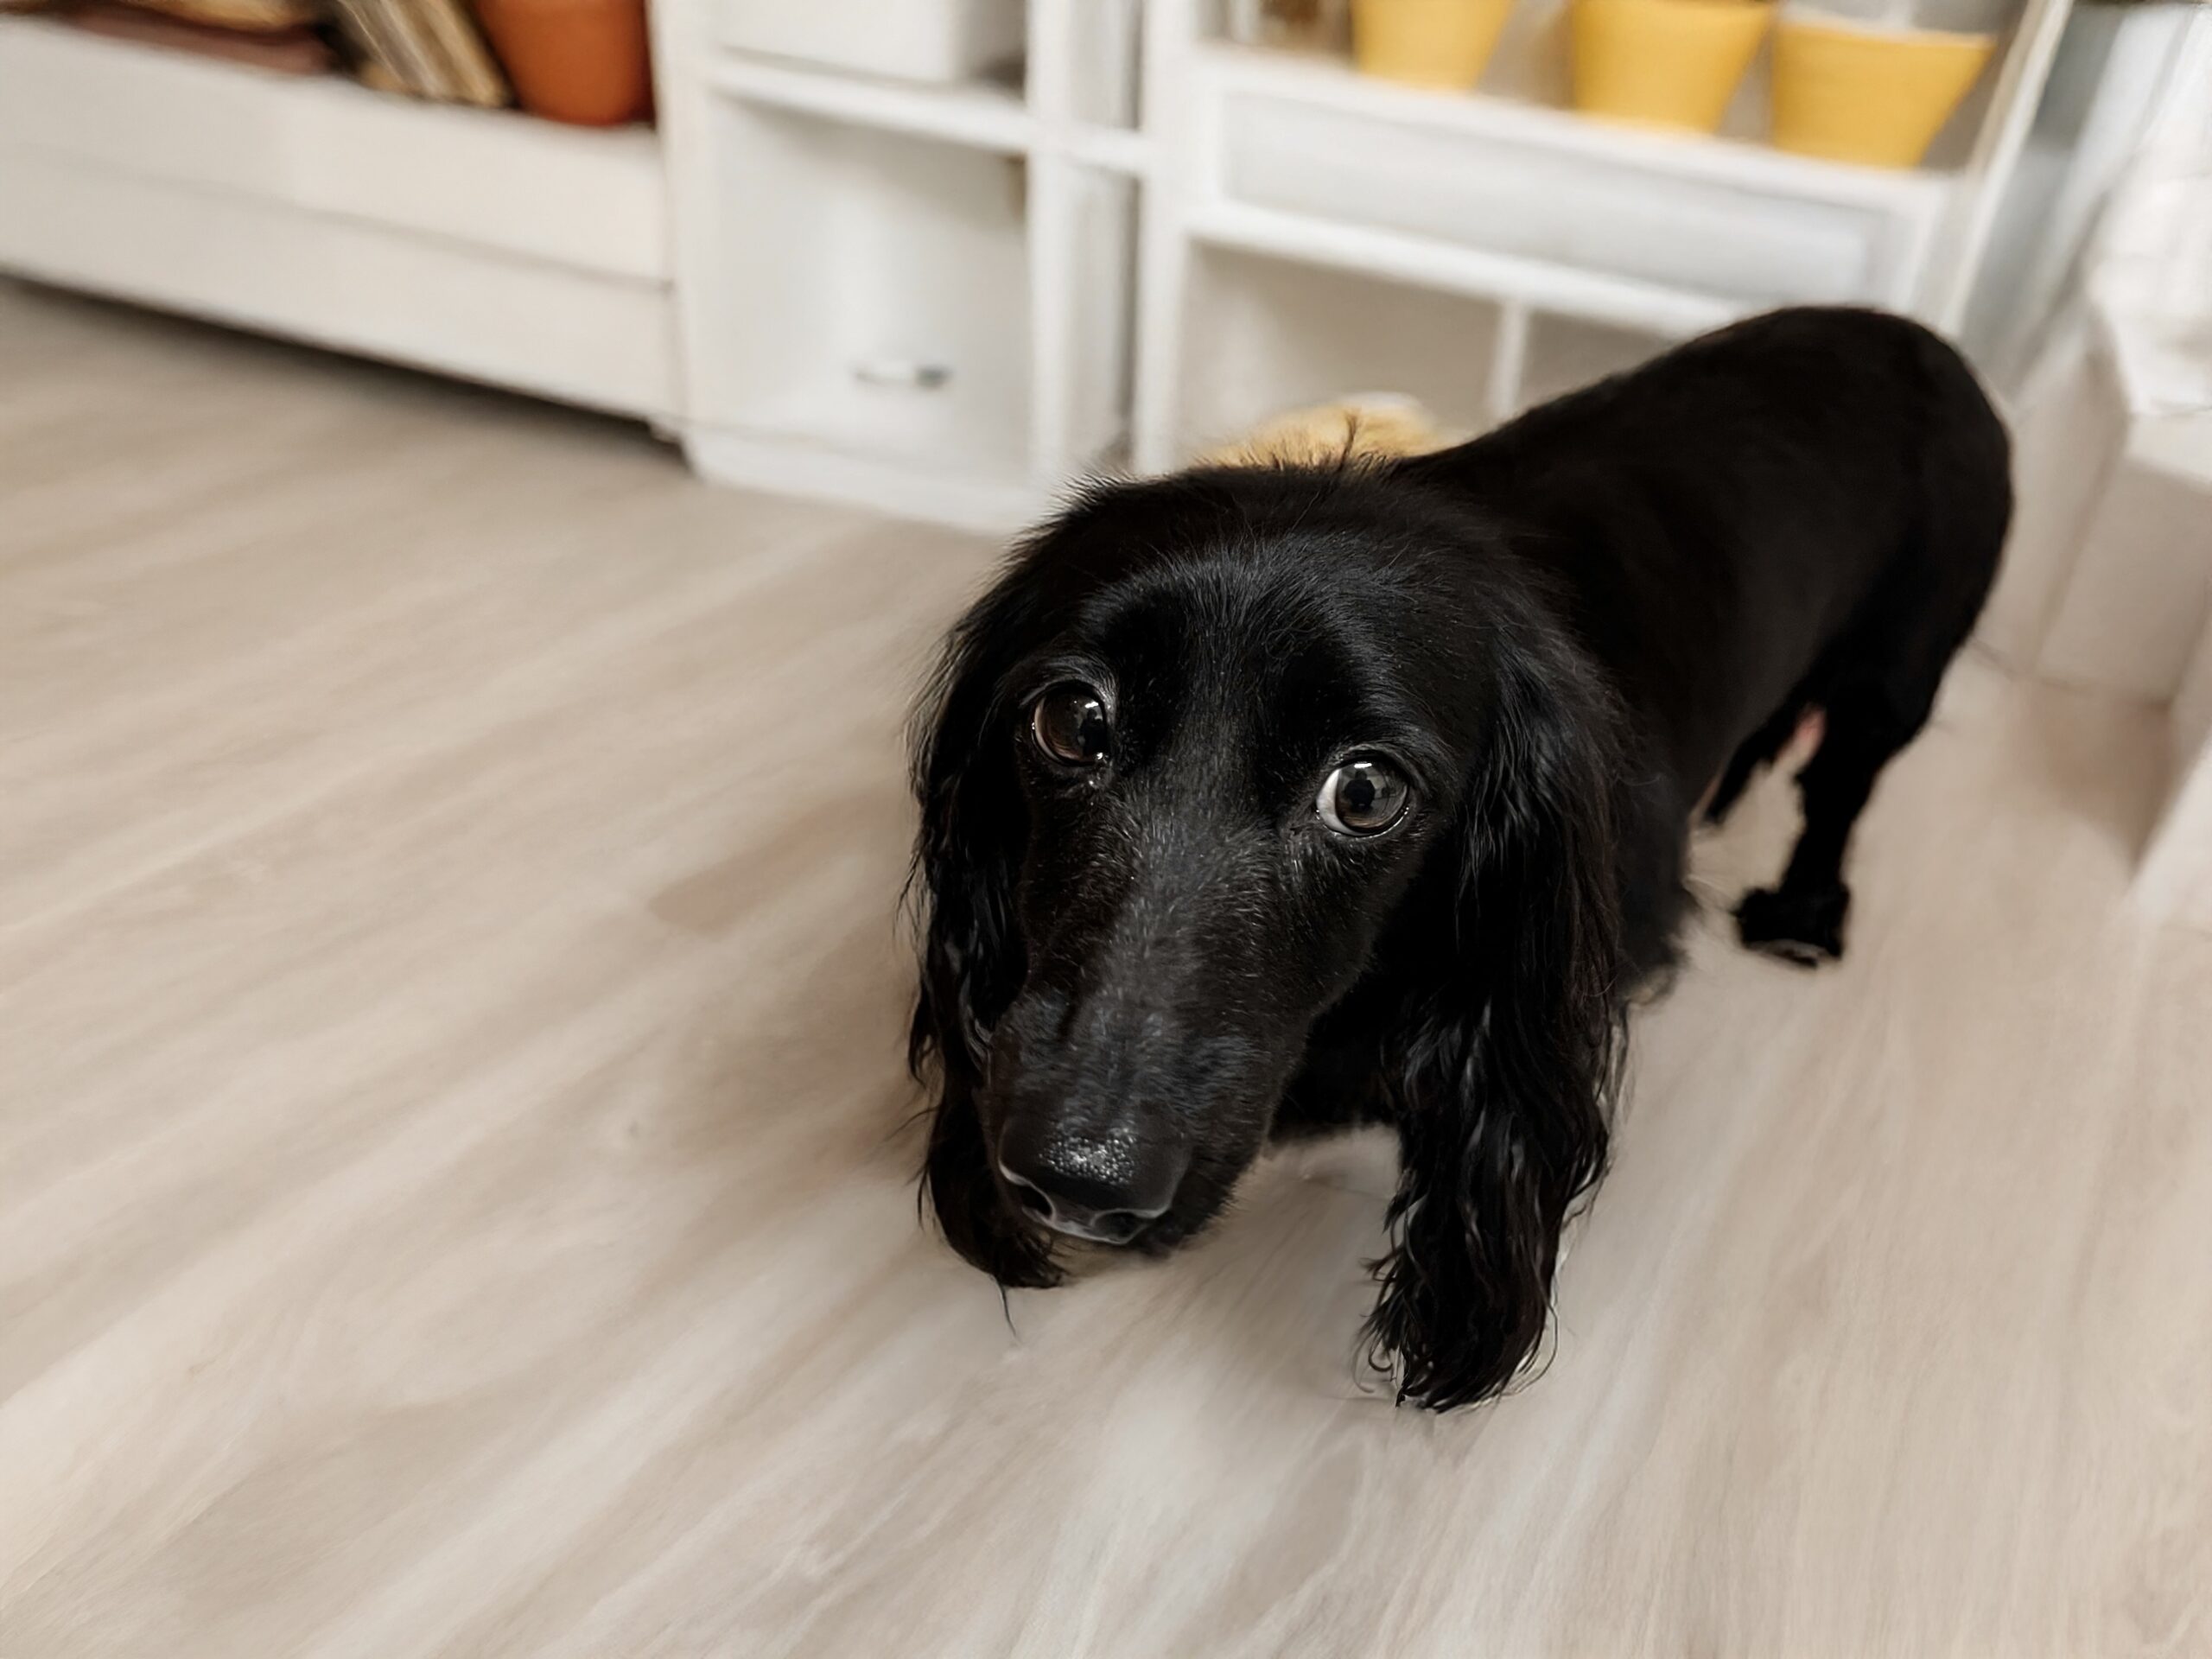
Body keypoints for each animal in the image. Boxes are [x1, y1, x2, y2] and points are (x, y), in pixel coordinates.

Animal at [905, 307, 2009, 1411]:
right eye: (1072, 720)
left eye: (1364, 792)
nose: (1075, 1179)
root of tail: (1914, 333)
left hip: (1892, 679)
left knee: (1839, 791)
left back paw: (1801, 914)